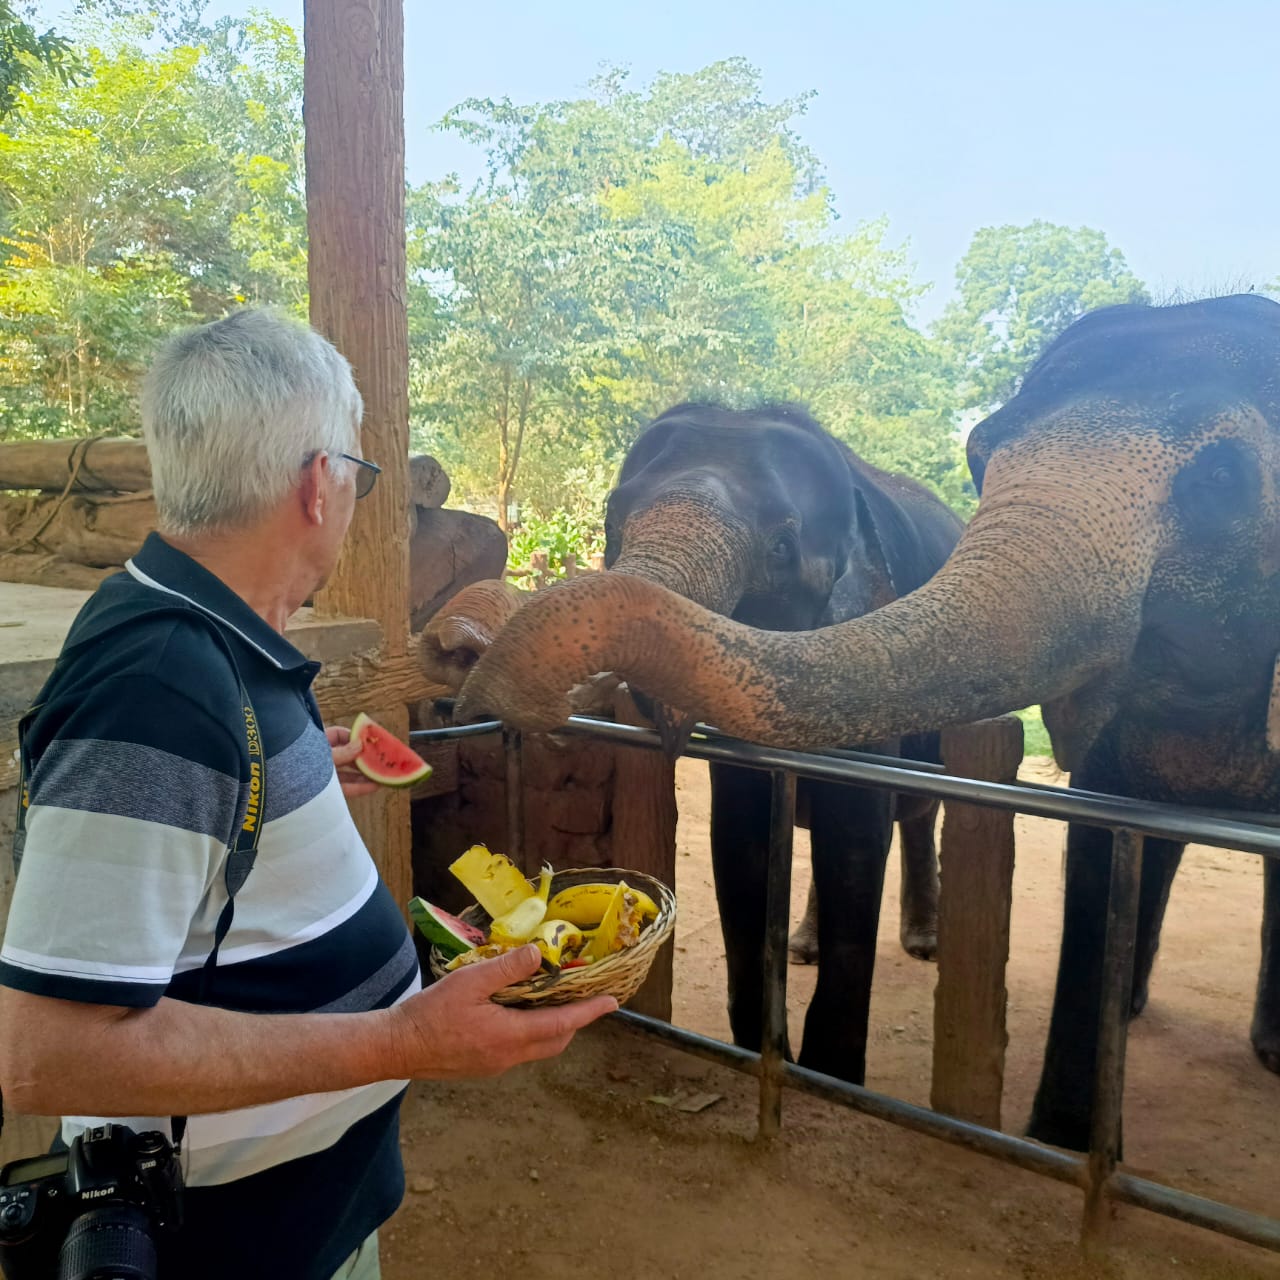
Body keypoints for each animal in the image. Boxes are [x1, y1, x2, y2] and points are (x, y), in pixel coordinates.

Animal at [456, 293, 1280, 1152]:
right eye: (615, 517)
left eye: (782, 547)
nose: (485, 692)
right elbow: (739, 838)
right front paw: (757, 1047)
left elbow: (857, 829)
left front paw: (830, 1076)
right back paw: (807, 944)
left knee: (915, 810)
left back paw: (925, 940)